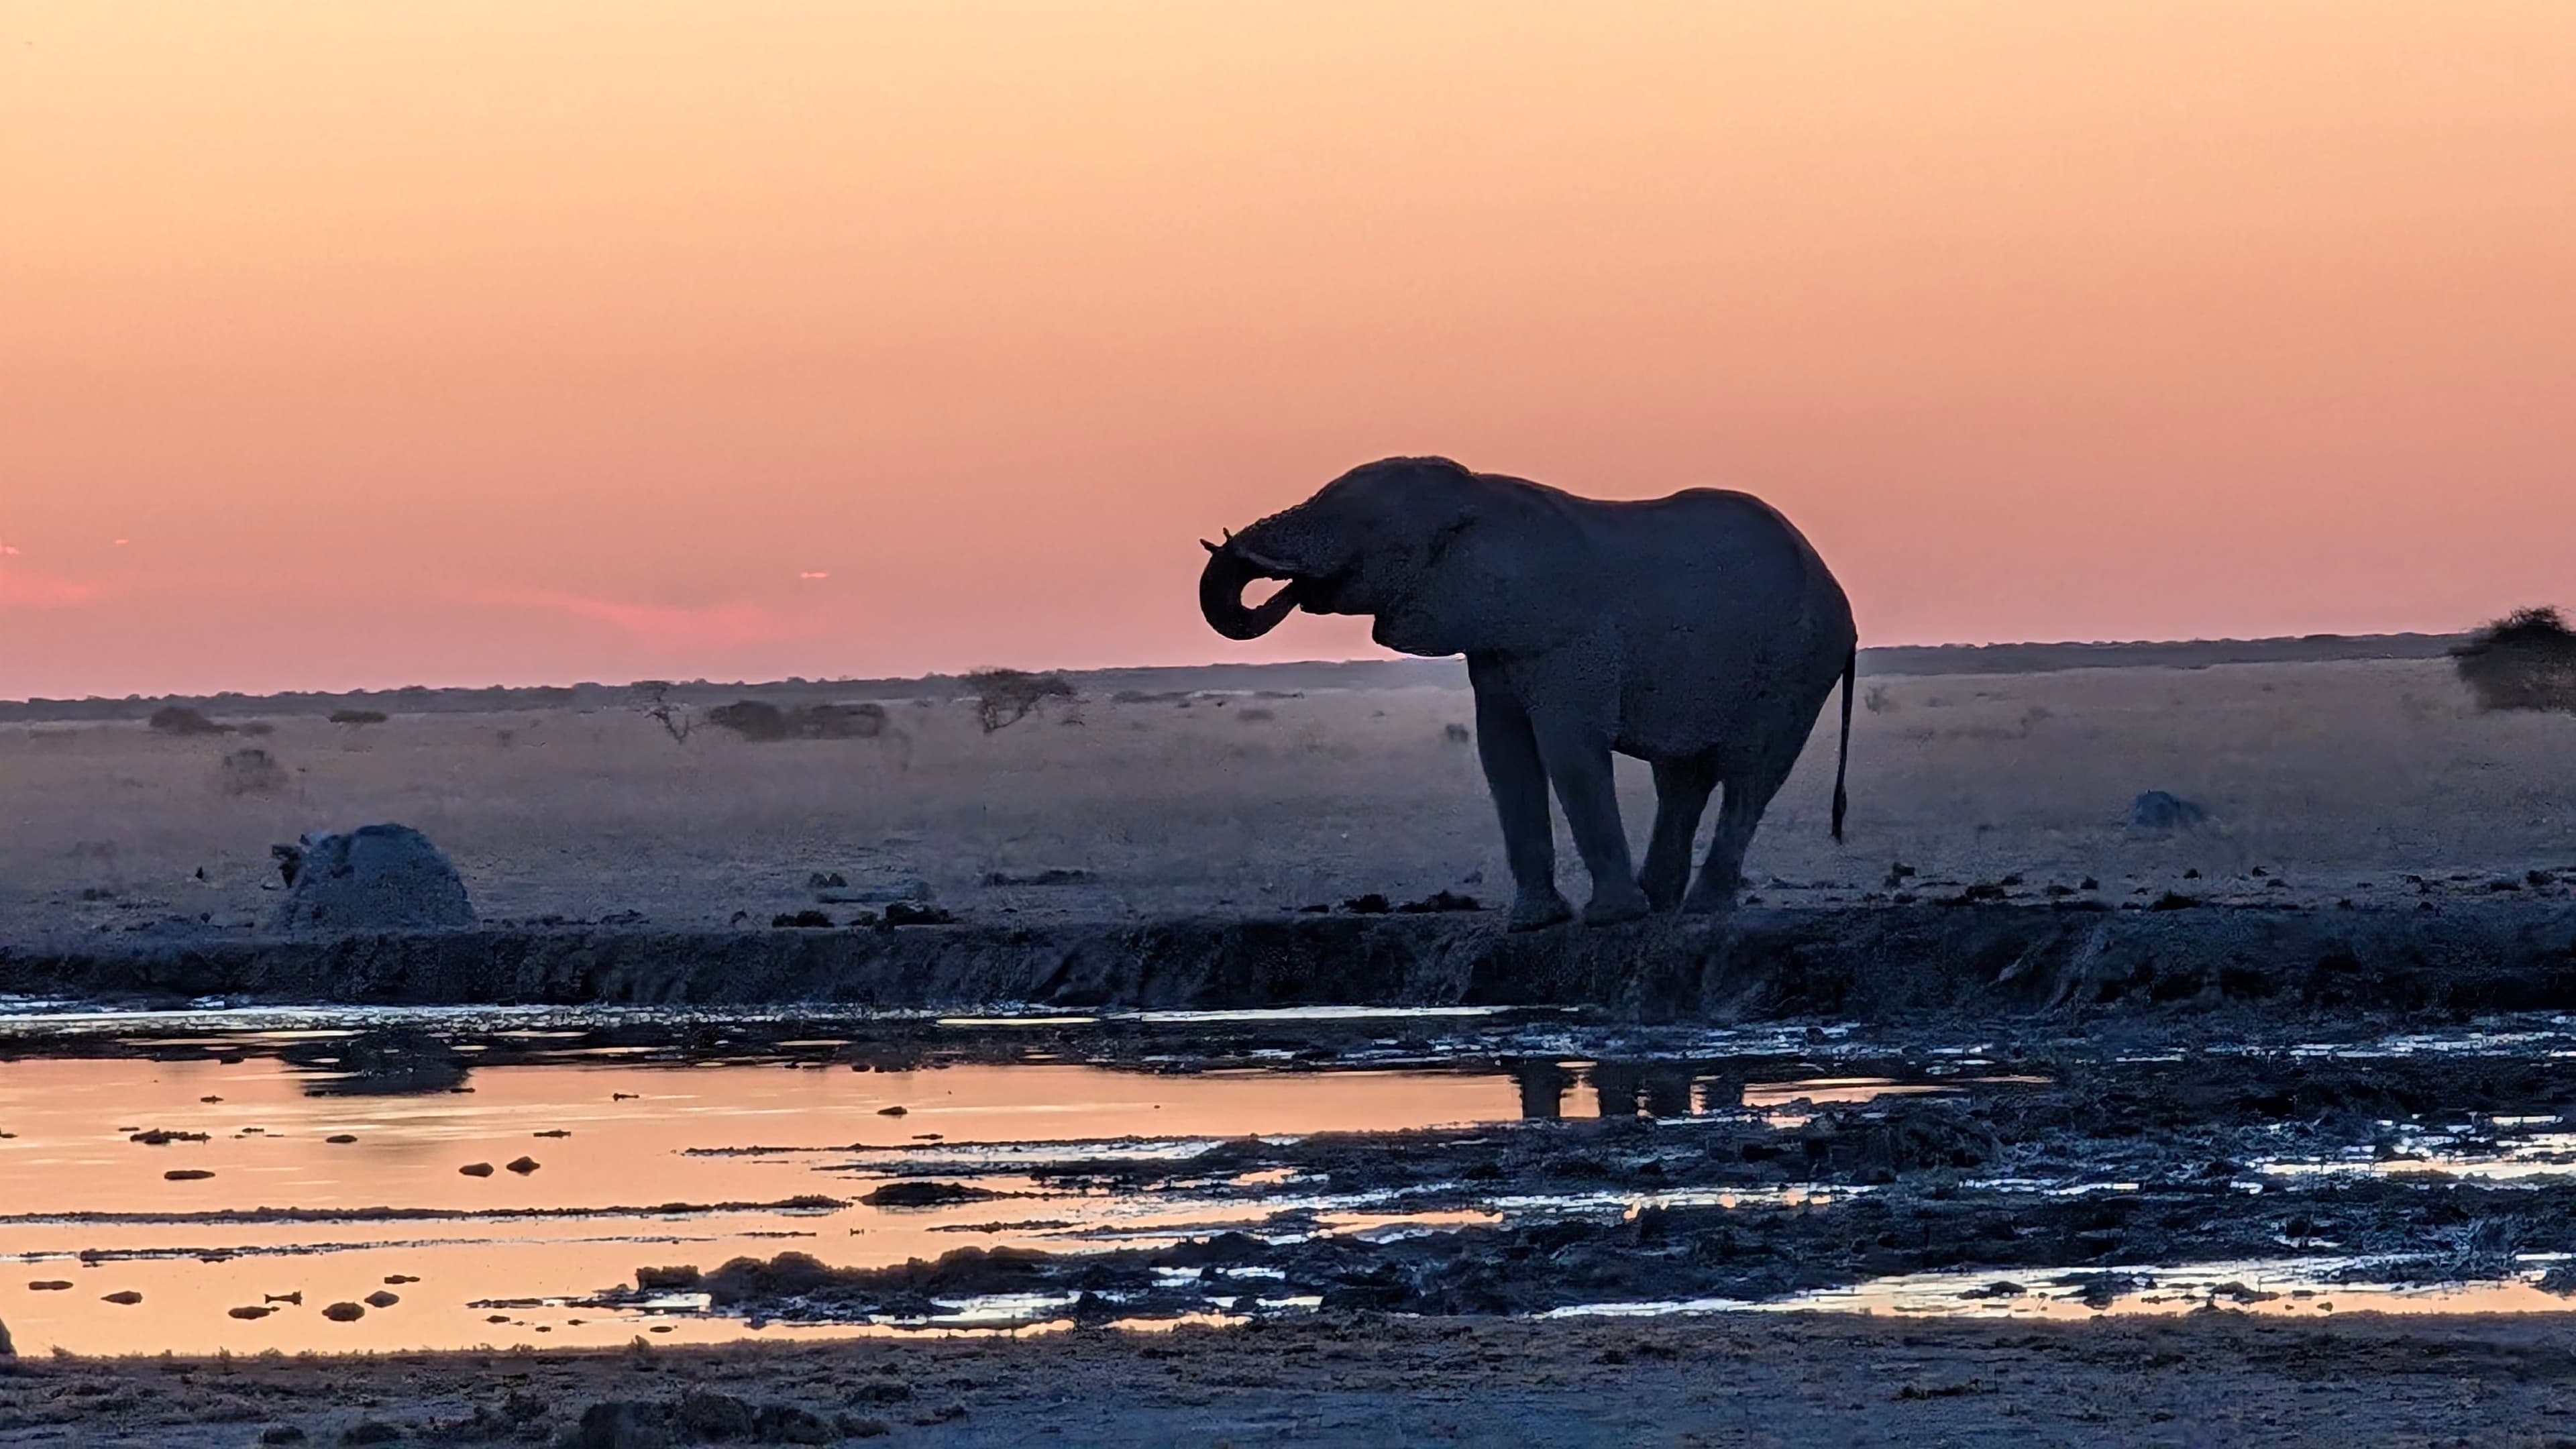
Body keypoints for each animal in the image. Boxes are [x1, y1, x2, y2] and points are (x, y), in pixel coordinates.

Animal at [1199, 456, 1856, 930]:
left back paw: (1698, 909)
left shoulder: (1565, 634)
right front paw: (1533, 925)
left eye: (1362, 529)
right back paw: (1660, 903)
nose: (1290, 589)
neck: (1474, 497)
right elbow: (1503, 752)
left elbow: (1567, 746)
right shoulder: (1492, 638)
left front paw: (1606, 921)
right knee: (1683, 778)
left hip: (1796, 665)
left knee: (1750, 775)